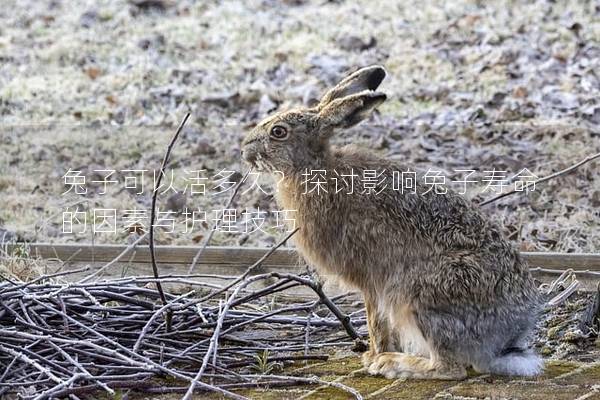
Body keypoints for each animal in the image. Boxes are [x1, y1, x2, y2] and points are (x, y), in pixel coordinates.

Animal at [240, 65, 544, 378]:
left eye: (278, 132)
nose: (244, 151)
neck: (313, 167)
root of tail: (507, 339)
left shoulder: (371, 278)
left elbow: (375, 319)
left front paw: (374, 358)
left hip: (421, 295)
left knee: (449, 368)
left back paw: (394, 363)